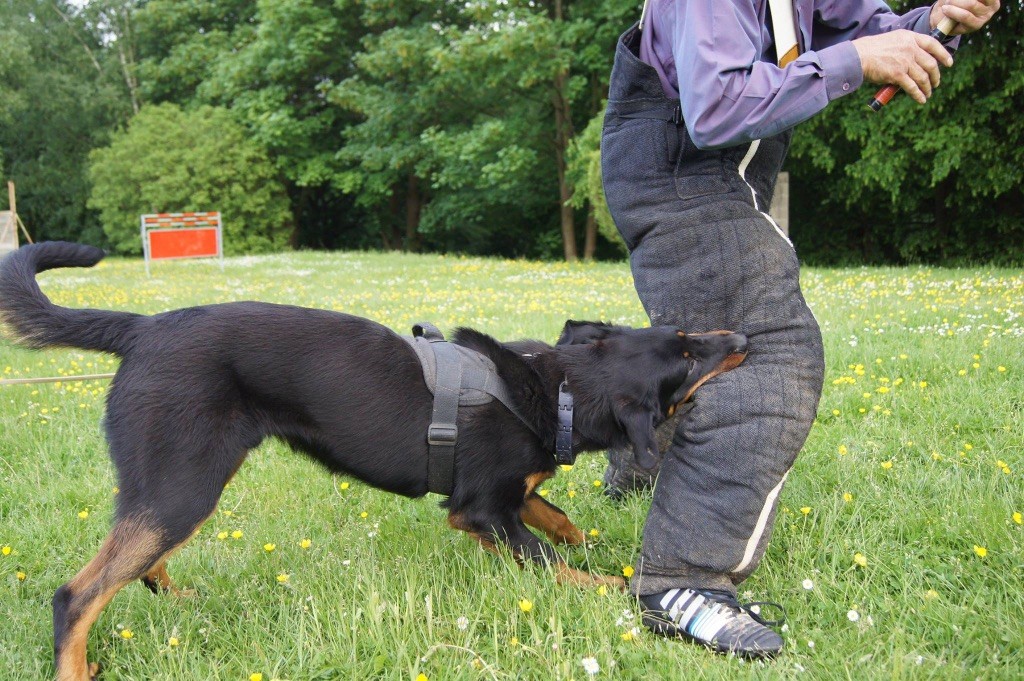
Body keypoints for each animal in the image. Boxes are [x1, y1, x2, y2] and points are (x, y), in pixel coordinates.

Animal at [2, 241, 753, 675]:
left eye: (686, 336)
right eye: (689, 361)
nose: (742, 338)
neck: (559, 389)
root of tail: (141, 328)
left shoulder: (501, 496)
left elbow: (555, 512)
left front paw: (586, 538)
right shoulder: (480, 511)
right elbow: (554, 562)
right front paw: (613, 586)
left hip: (177, 481)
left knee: (137, 558)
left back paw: (179, 596)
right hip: (185, 480)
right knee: (79, 593)